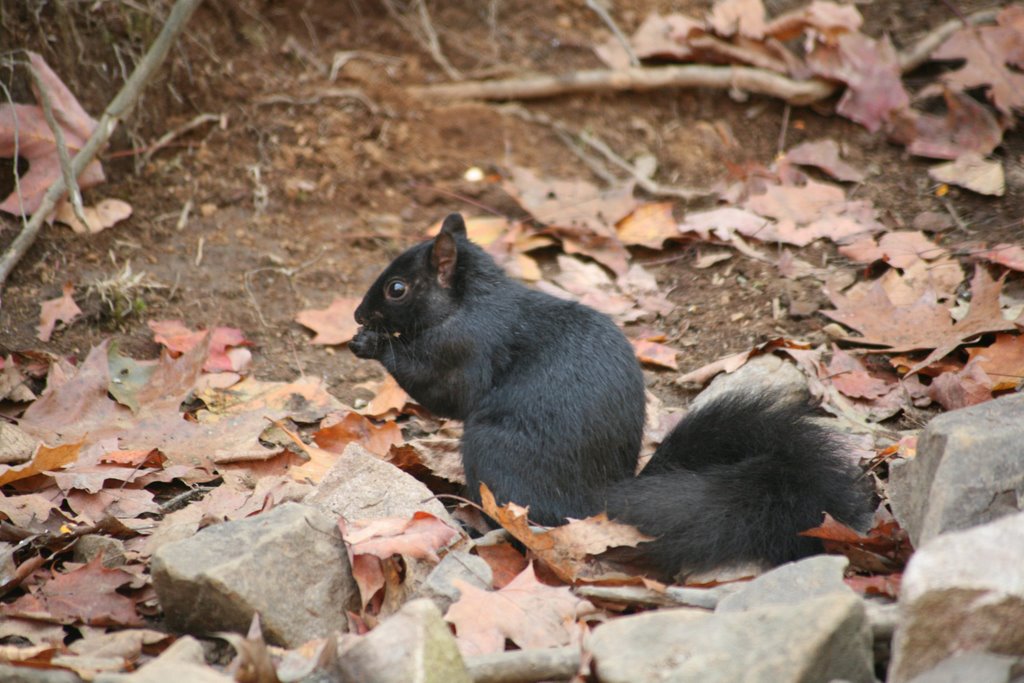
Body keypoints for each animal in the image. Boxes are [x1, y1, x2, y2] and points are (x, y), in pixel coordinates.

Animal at [352, 214, 872, 577]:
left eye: (397, 288)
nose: (358, 315)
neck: (469, 302)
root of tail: (593, 503)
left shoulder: (465, 348)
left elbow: (441, 392)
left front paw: (371, 345)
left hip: (494, 451)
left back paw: (478, 525)